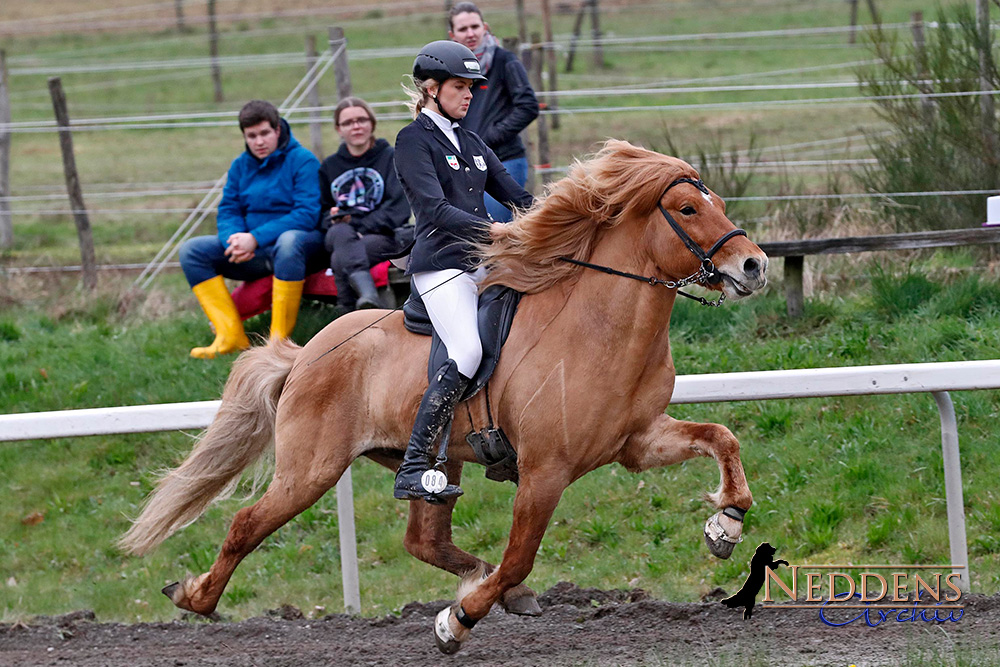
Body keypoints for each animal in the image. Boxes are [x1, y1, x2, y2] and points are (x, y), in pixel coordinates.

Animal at [121, 140, 768, 652]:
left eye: (718, 202)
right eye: (688, 208)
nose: (755, 266)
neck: (601, 328)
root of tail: (305, 354)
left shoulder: (636, 441)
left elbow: (721, 438)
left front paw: (726, 525)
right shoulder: (546, 470)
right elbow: (520, 554)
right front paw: (456, 622)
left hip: (434, 464)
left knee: (423, 539)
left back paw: (496, 586)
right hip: (311, 469)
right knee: (246, 525)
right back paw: (194, 597)